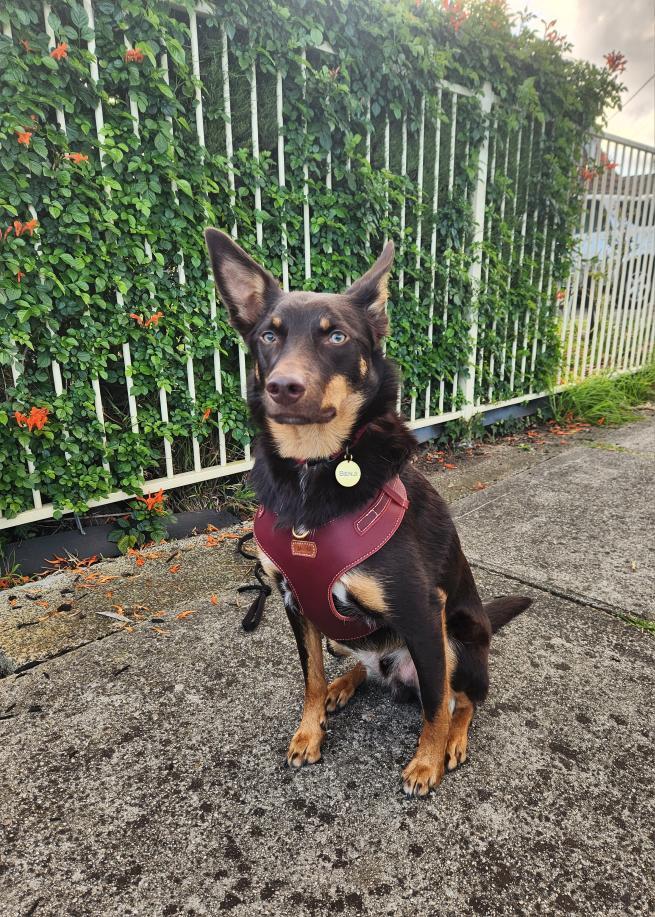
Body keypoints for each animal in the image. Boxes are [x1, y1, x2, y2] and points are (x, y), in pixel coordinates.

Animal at [205, 229, 532, 796]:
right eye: (268, 336)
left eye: (336, 338)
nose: (283, 386)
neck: (312, 471)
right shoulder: (294, 602)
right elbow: (310, 677)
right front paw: (311, 729)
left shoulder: (422, 612)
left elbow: (434, 704)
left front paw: (427, 761)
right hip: (348, 637)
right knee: (358, 664)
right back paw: (347, 683)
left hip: (458, 642)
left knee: (462, 699)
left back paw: (455, 740)